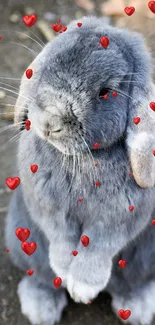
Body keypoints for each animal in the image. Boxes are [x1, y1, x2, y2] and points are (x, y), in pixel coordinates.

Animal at [4, 15, 155, 324]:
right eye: (49, 65)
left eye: (105, 92)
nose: (50, 122)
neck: (84, 158)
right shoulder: (48, 207)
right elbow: (61, 237)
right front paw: (65, 272)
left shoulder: (119, 218)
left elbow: (98, 247)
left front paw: (83, 288)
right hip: (20, 237)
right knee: (39, 276)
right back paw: (41, 309)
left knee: (133, 283)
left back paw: (137, 309)